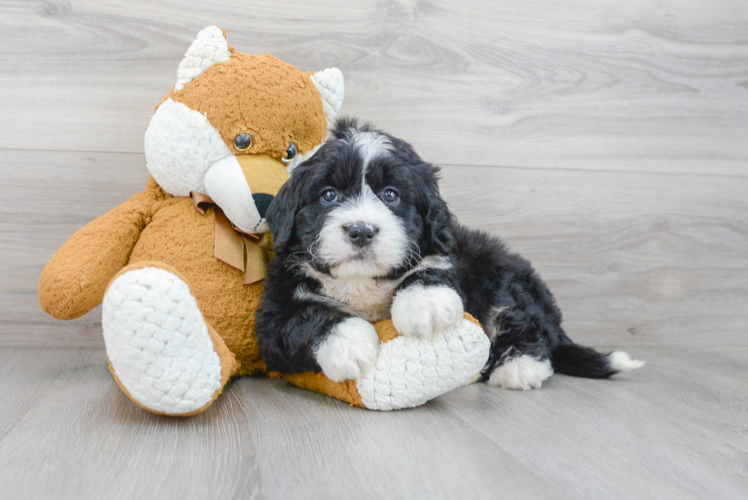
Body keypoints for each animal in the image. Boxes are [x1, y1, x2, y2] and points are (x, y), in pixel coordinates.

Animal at [254, 119, 640, 388]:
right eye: (329, 195)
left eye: (391, 195)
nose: (361, 230)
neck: (363, 283)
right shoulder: (273, 317)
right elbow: (304, 318)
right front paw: (350, 344)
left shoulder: (452, 255)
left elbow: (432, 267)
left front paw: (425, 304)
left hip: (502, 275)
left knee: (524, 325)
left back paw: (518, 367)